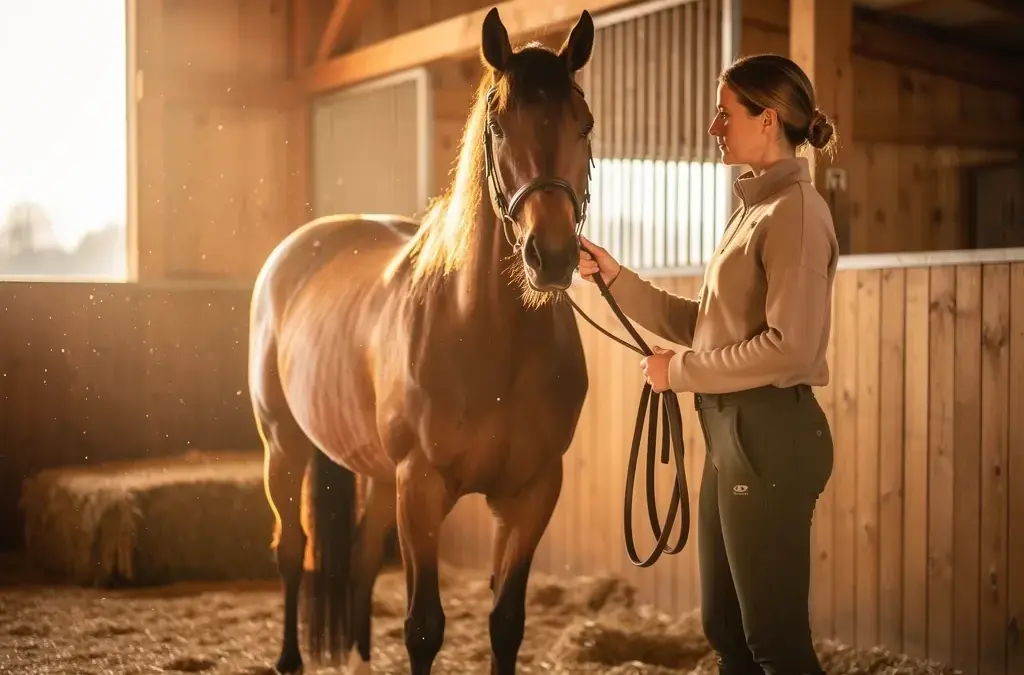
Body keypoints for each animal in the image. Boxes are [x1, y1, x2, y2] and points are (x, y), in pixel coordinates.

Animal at [247, 7, 597, 674]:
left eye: (584, 124)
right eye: (497, 125)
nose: (553, 256)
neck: (490, 337)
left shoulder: (532, 492)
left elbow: (506, 622)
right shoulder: (423, 486)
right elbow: (423, 627)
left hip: (379, 475)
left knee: (360, 557)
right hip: (285, 446)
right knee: (290, 550)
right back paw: (289, 659)